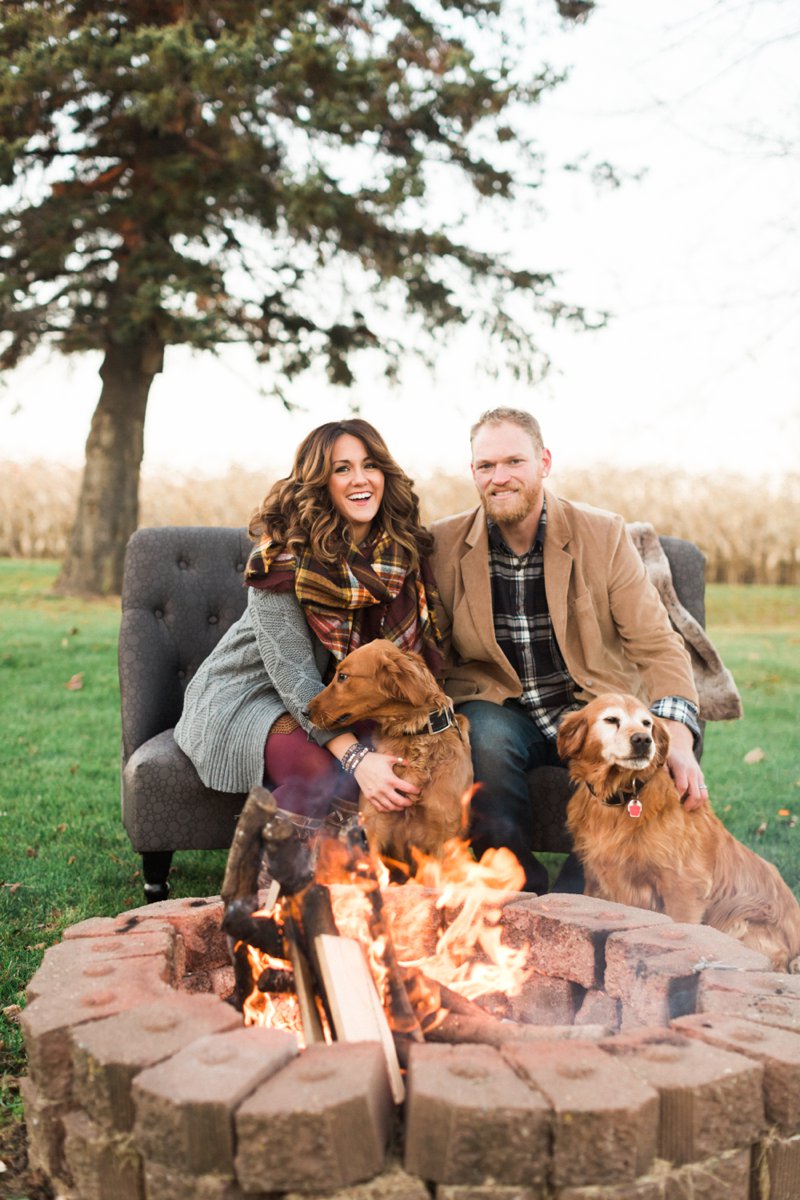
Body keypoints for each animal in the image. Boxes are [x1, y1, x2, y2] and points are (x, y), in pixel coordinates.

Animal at [556, 696, 800, 974]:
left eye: (647, 723)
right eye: (611, 719)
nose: (643, 740)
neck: (621, 799)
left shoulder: (683, 887)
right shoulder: (596, 880)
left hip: (739, 919)